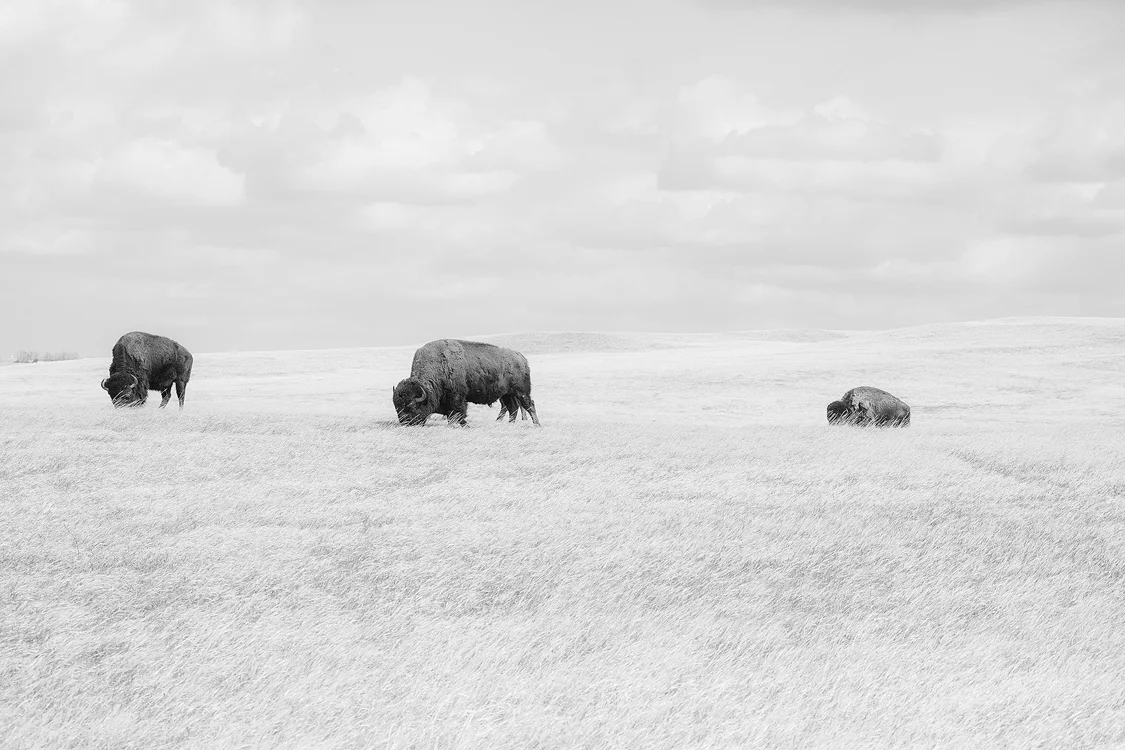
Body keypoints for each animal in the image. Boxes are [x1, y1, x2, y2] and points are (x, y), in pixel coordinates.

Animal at [392, 339, 541, 427]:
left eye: (411, 406)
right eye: (397, 407)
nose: (405, 423)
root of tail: (521, 358)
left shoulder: (457, 398)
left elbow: (458, 413)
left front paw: (463, 425)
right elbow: (451, 415)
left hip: (521, 391)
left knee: (529, 405)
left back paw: (536, 425)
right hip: (507, 394)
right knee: (512, 408)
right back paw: (509, 425)